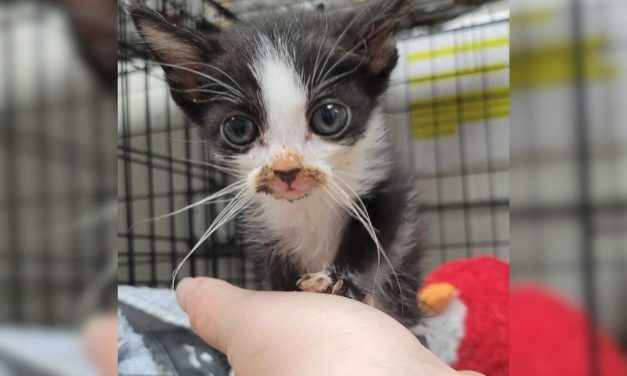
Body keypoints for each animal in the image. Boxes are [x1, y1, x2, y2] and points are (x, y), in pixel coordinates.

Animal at [132, 0, 426, 328]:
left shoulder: (385, 185)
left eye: (329, 117)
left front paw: (343, 281)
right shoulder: (264, 230)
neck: (308, 206)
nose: (287, 170)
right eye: (238, 128)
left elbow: (377, 235)